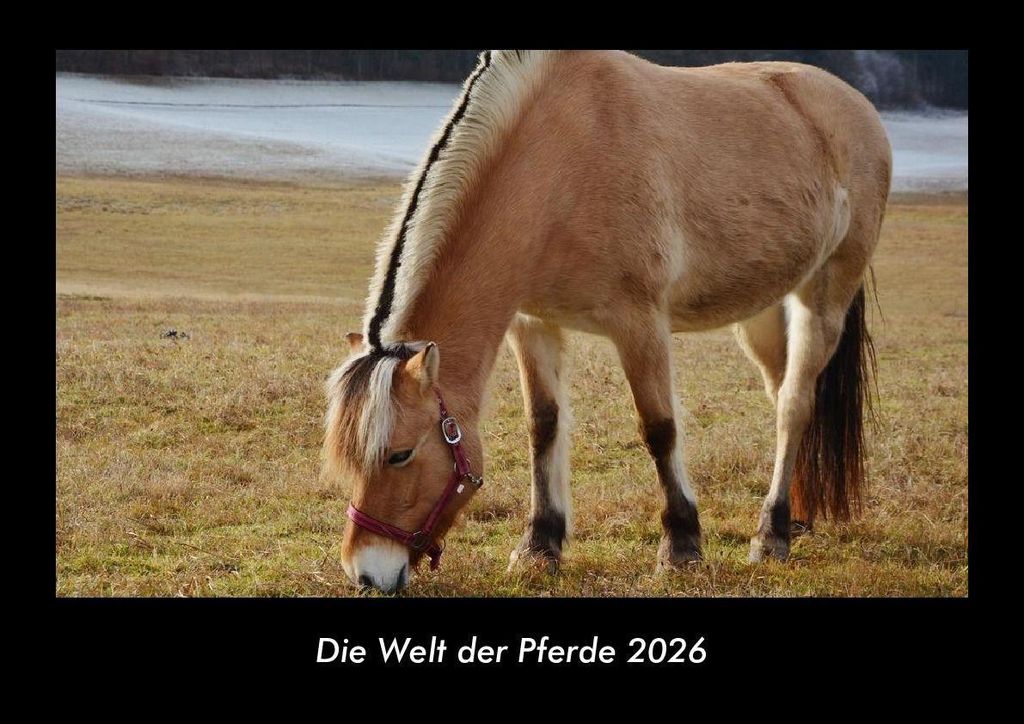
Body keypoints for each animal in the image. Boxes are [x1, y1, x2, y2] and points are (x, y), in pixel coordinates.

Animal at [323, 49, 891, 593]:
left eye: (400, 455)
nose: (366, 572)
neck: (560, 159)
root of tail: (856, 108)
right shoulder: (533, 324)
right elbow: (543, 426)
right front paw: (540, 547)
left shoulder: (639, 323)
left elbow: (659, 428)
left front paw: (681, 548)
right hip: (763, 312)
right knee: (784, 397)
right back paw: (797, 517)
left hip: (823, 297)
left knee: (794, 405)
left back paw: (771, 535)